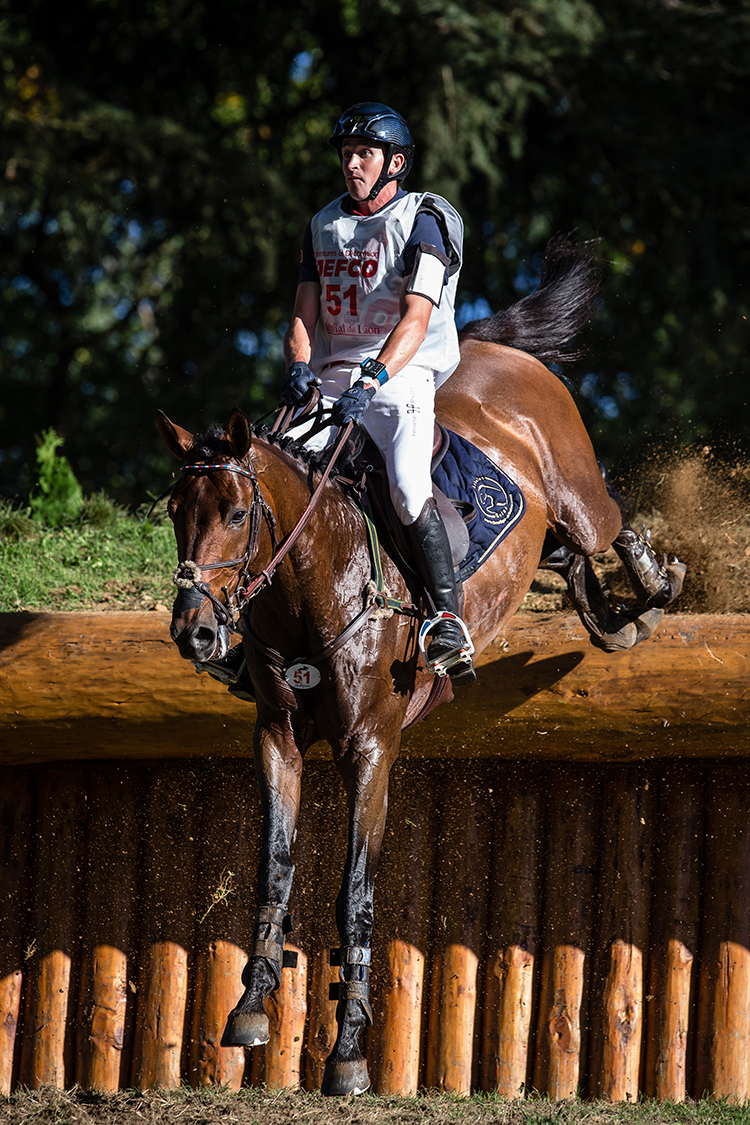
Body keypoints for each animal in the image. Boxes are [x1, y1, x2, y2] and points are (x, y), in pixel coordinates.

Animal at [158, 235, 688, 1089]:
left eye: (238, 514)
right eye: (177, 512)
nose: (195, 633)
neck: (316, 583)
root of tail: (489, 348)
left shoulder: (373, 744)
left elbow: (355, 891)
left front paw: (348, 1048)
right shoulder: (276, 737)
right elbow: (275, 867)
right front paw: (252, 1003)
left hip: (575, 487)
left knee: (610, 523)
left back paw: (652, 587)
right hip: (550, 529)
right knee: (574, 560)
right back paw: (616, 618)